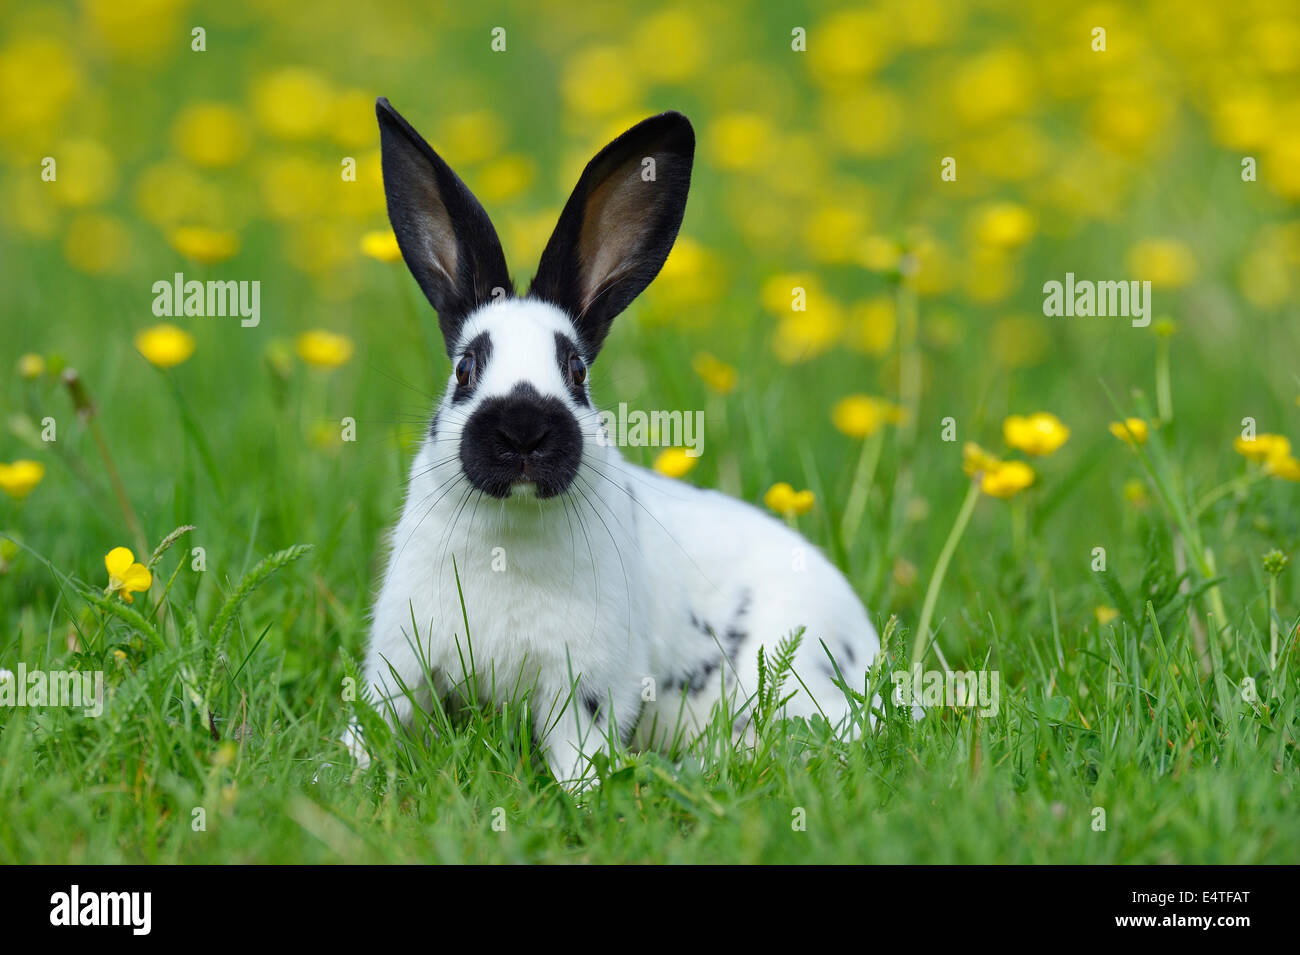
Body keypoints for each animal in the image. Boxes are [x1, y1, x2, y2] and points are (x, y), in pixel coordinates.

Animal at [342, 98, 880, 789]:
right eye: (465, 369)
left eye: (576, 371)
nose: (524, 428)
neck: (510, 538)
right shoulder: (402, 661)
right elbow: (379, 722)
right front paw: (349, 774)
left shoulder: (585, 687)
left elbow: (578, 748)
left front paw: (587, 790)